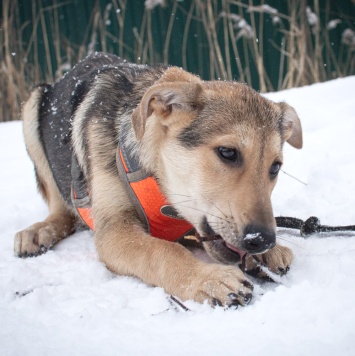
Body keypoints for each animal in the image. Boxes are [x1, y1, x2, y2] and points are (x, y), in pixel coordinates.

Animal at [14, 52, 304, 306]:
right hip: (32, 108)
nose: (264, 240)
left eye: (275, 167)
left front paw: (271, 253)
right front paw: (208, 279)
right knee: (61, 212)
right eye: (227, 152)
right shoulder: (114, 229)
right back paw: (39, 231)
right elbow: (162, 251)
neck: (156, 177)